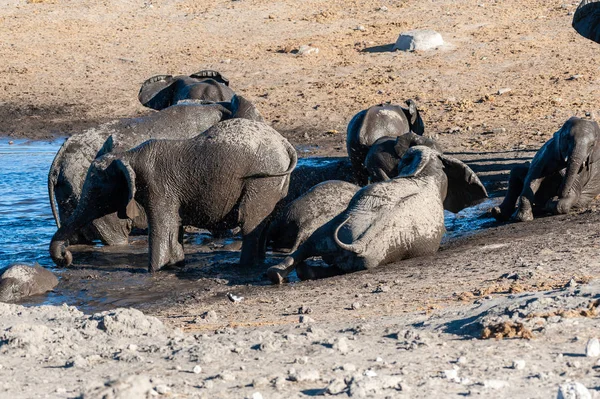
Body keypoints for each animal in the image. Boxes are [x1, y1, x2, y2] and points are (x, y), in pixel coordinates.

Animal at [49, 119, 298, 274]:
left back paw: (244, 267)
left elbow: (161, 229)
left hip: (261, 180)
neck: (128, 156)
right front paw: (176, 265)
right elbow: (174, 229)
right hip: (275, 182)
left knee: (250, 222)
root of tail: (285, 145)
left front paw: (153, 272)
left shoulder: (157, 187)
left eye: (97, 191)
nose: (66, 258)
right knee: (262, 223)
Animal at [268, 145, 488, 282]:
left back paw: (278, 275)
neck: (425, 174)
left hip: (349, 242)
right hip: (374, 253)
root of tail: (359, 244)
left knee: (309, 251)